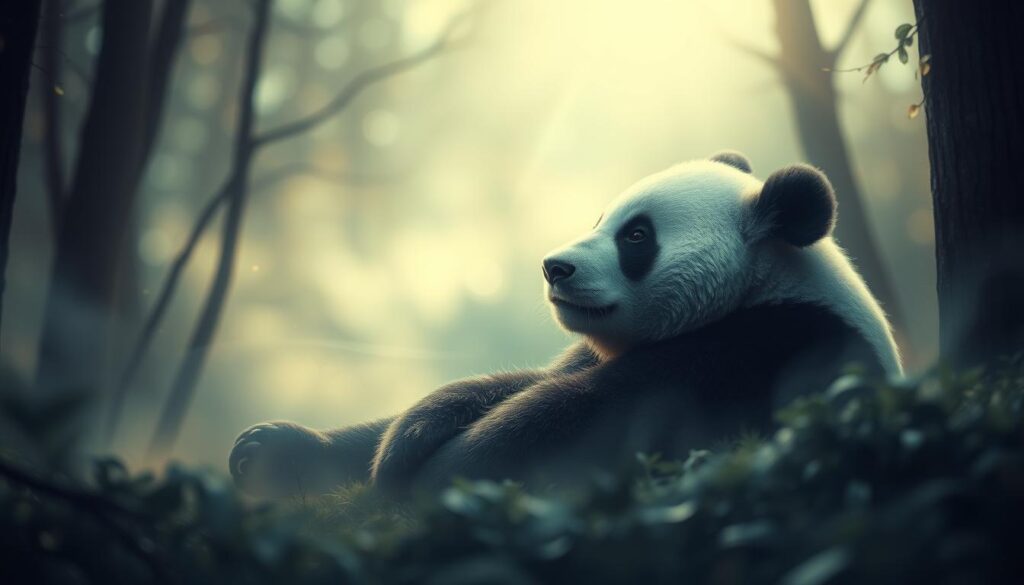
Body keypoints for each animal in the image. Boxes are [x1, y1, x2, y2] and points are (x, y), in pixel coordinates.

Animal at [229, 151, 901, 497]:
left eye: (637, 236)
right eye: (601, 217)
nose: (555, 267)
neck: (765, 286)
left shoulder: (760, 352)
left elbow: (571, 419)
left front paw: (431, 480)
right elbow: (513, 383)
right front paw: (277, 450)